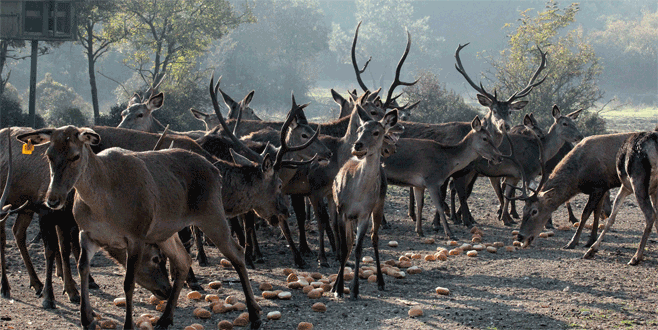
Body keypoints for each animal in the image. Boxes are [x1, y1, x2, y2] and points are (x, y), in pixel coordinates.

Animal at [15, 125, 262, 330]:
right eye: (48, 155)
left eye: (75, 155)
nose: (52, 199)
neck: (103, 204)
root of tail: (215, 170)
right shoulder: (87, 234)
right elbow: (82, 267)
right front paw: (87, 319)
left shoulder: (136, 236)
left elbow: (128, 283)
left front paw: (127, 325)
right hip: (165, 232)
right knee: (183, 260)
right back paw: (165, 319)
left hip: (212, 214)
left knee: (237, 253)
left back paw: (255, 315)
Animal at [330, 107, 398, 300]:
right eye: (359, 130)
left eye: (376, 132)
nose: (358, 145)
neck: (357, 194)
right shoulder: (341, 211)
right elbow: (344, 248)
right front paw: (338, 289)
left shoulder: (364, 214)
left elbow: (359, 249)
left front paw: (354, 290)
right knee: (349, 243)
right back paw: (335, 285)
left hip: (379, 205)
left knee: (374, 238)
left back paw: (381, 282)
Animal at [580, 130, 656, 264]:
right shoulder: (653, 191)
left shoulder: (626, 186)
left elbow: (612, 217)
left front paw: (591, 249)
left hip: (638, 184)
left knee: (650, 214)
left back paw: (636, 257)